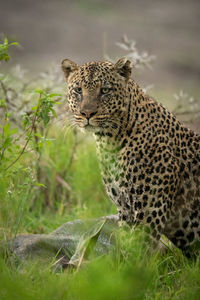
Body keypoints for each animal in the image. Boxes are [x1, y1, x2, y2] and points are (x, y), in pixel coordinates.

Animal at [61, 56, 200, 255]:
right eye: (78, 90)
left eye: (105, 90)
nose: (87, 113)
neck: (110, 141)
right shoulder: (125, 210)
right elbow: (127, 247)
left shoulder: (149, 212)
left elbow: (138, 253)